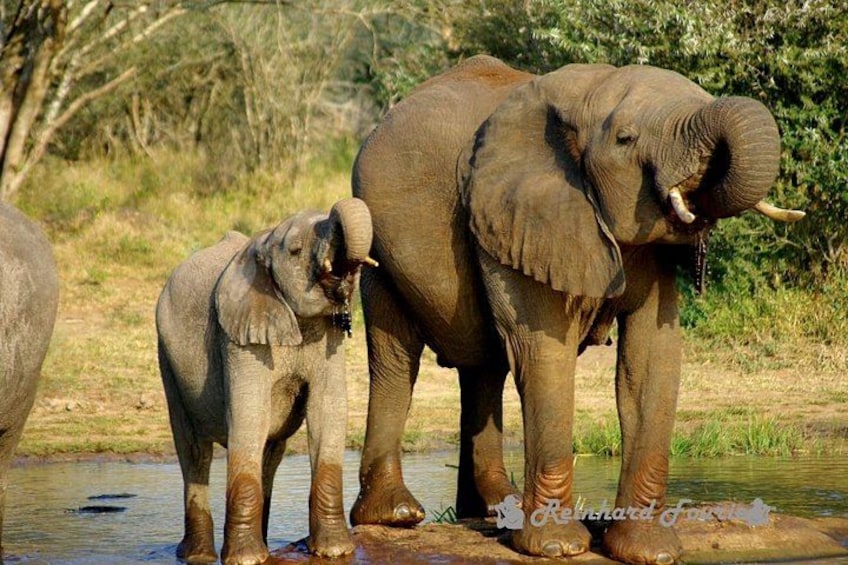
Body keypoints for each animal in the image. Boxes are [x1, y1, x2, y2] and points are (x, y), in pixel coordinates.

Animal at [155, 197, 375, 564]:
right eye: (296, 250)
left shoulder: (327, 340)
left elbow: (328, 411)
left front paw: (335, 550)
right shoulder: (238, 339)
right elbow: (250, 415)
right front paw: (245, 559)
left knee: (269, 455)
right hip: (167, 359)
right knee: (194, 452)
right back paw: (198, 556)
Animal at [349, 55, 804, 564]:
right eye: (626, 139)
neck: (589, 93)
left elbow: (652, 359)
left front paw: (649, 552)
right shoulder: (520, 216)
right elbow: (545, 352)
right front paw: (556, 547)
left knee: (484, 369)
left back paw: (494, 510)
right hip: (378, 251)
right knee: (396, 360)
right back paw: (396, 515)